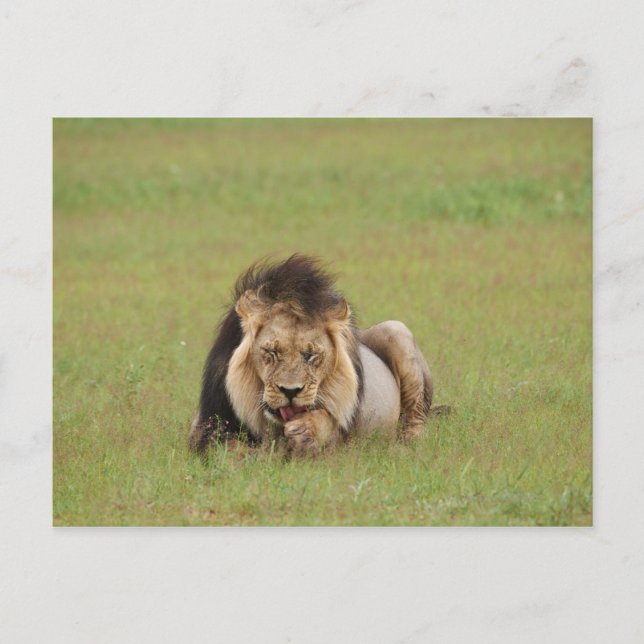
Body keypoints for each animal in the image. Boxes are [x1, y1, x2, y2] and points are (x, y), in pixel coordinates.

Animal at [189, 254, 433, 456]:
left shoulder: (345, 437)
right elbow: (227, 450)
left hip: (396, 330)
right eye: (271, 352)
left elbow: (329, 426)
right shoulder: (208, 422)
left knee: (416, 419)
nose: (290, 391)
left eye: (311, 355)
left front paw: (306, 432)